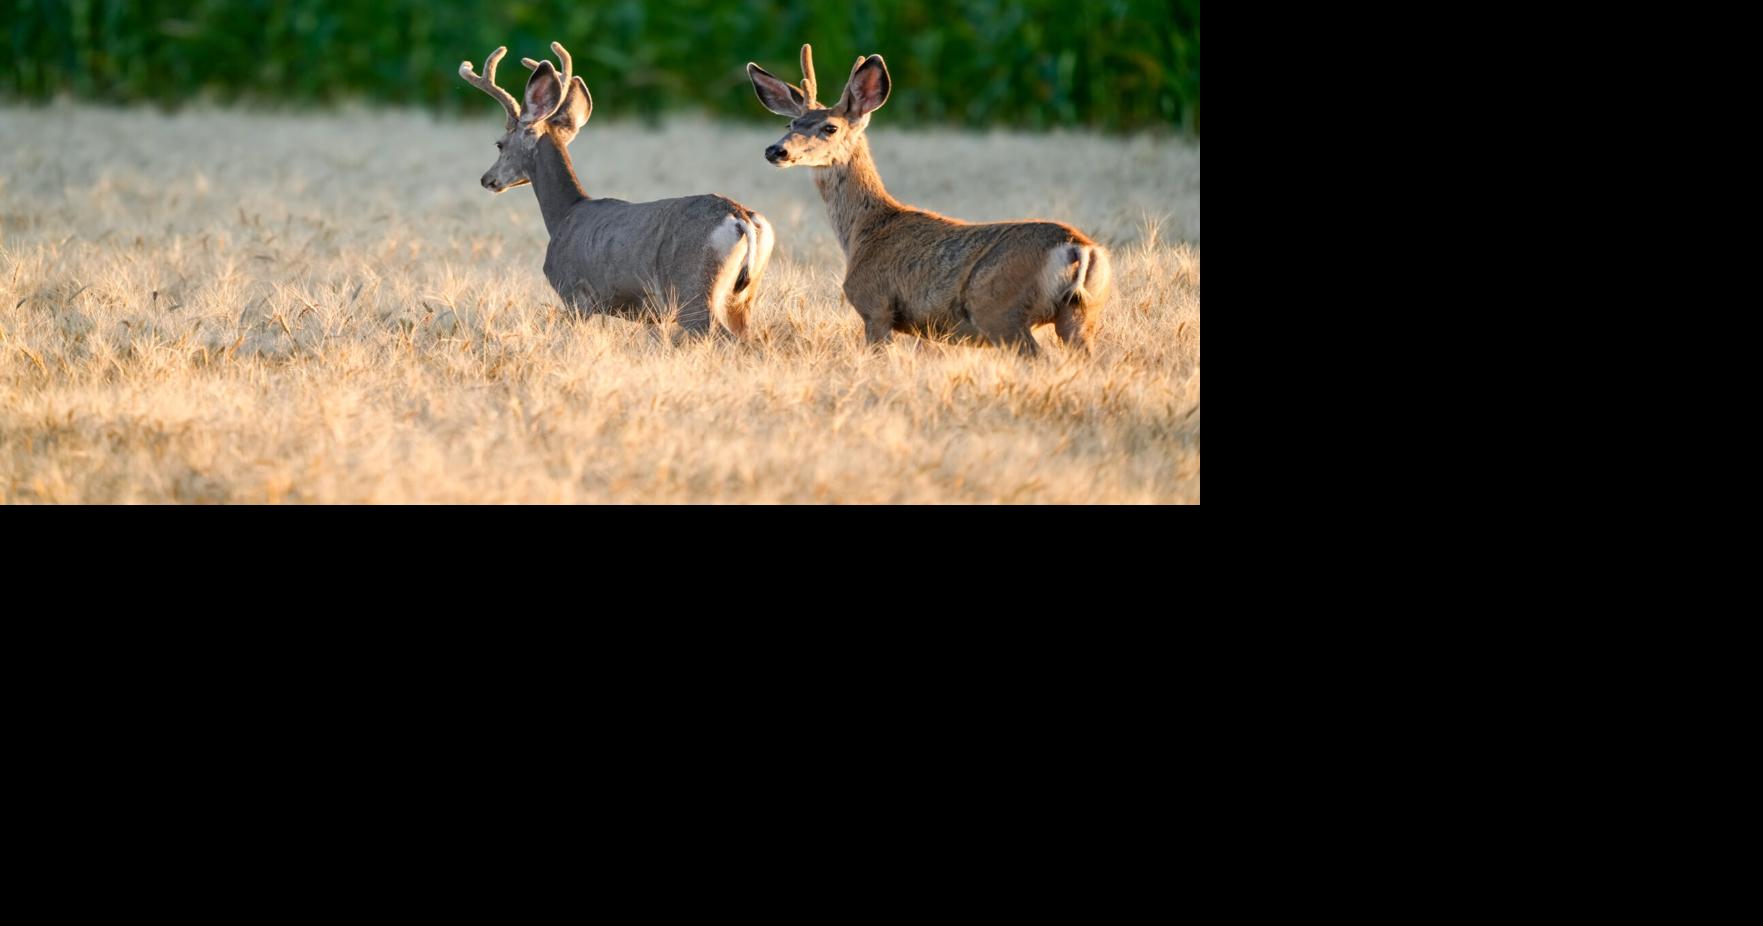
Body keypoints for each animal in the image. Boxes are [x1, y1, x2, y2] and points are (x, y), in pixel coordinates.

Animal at [461, 42, 774, 337]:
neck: (565, 214)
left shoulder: (576, 295)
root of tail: (740, 217)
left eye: (499, 144)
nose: (487, 179)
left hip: (693, 289)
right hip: (743, 296)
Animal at [746, 46, 1111, 355]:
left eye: (830, 128)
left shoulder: (875, 305)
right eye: (791, 122)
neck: (863, 232)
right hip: (1081, 314)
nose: (776, 150)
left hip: (1001, 310)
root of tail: (1079, 248)